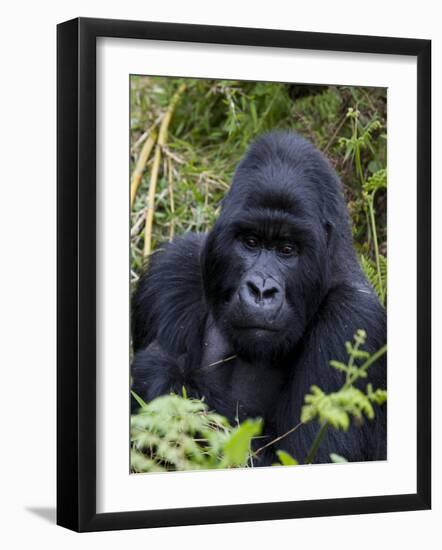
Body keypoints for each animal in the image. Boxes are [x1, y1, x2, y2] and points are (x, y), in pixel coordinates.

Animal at [131, 132, 386, 464]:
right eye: (251, 242)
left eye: (287, 250)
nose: (261, 290)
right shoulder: (171, 271)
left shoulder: (355, 318)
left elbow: (309, 454)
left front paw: (162, 376)